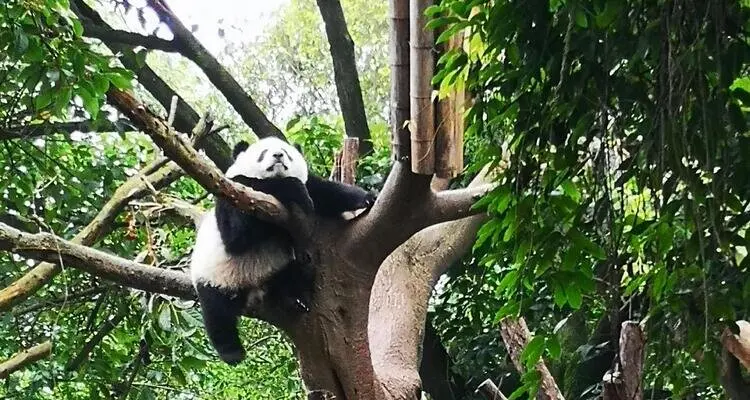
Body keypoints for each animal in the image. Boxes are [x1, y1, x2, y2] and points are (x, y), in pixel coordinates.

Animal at [190, 137, 375, 365]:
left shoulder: (313, 188)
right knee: (216, 312)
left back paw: (295, 298)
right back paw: (231, 352)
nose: (278, 155)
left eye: (286, 152)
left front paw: (366, 198)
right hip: (215, 276)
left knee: (295, 272)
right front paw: (290, 188)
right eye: (263, 152)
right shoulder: (233, 190)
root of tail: (255, 287)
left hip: (278, 267)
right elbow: (236, 234)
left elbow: (326, 192)